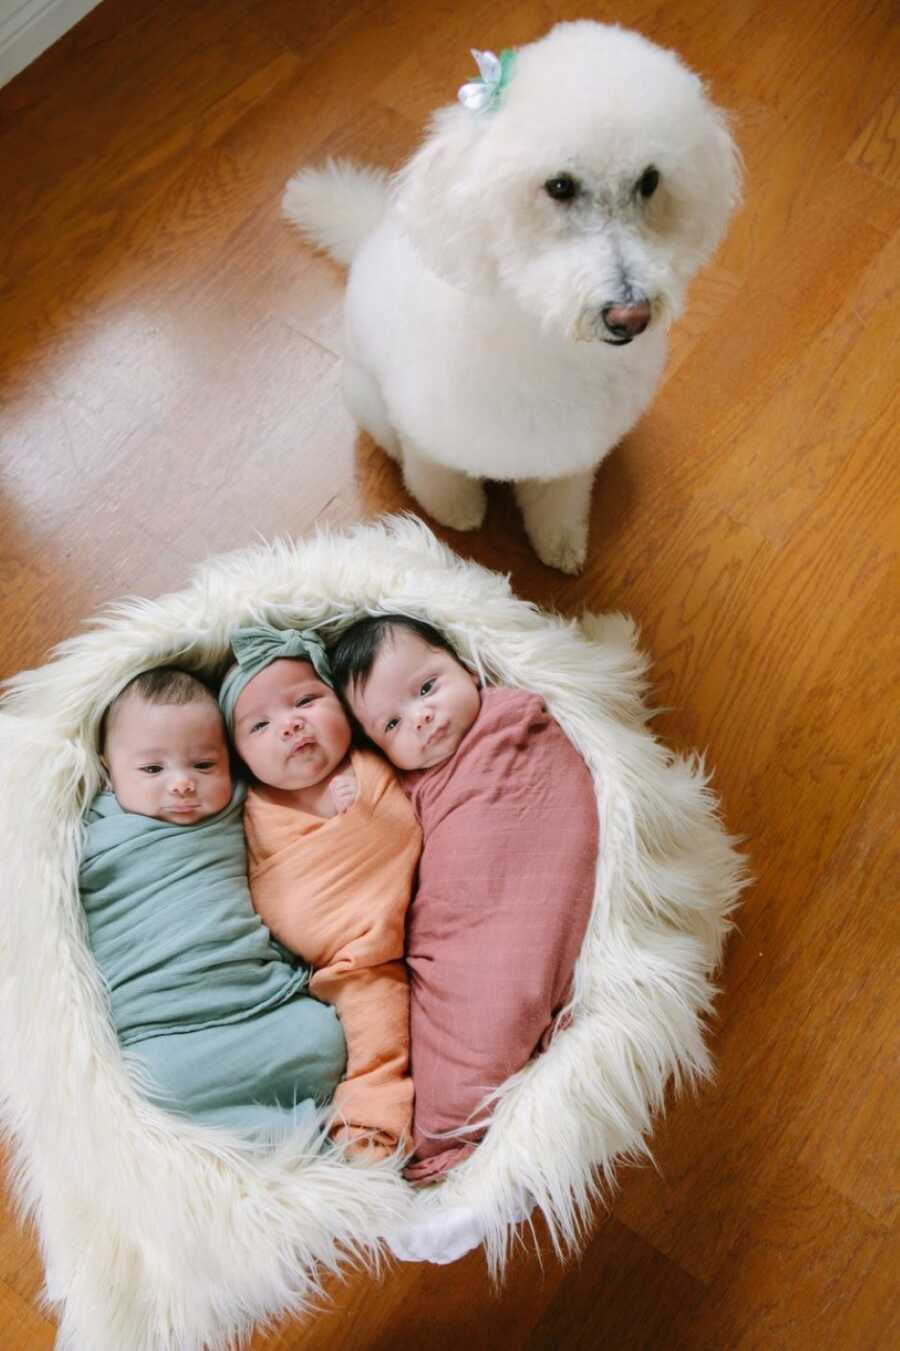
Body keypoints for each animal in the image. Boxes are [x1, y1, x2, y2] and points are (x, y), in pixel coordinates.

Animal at [285, 21, 735, 570]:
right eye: (559, 186)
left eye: (649, 181)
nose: (630, 316)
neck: (542, 325)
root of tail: (371, 232)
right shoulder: (426, 429)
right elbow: (434, 475)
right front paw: (455, 511)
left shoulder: (569, 452)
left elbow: (559, 499)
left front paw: (560, 542)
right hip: (368, 400)